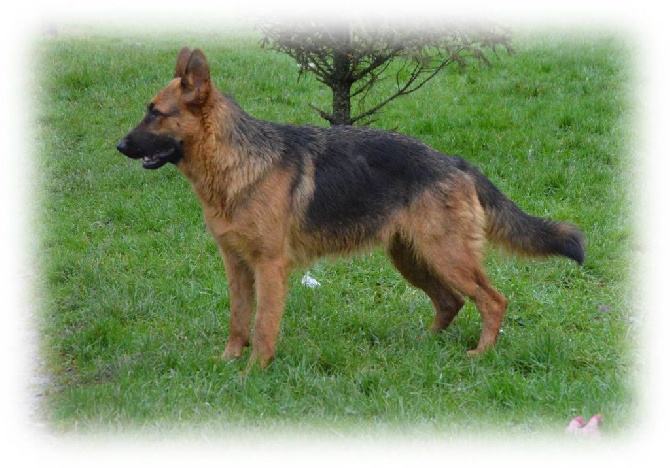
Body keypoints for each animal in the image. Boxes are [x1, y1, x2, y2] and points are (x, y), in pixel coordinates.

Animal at [118, 47, 584, 370]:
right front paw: (228, 362)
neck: (238, 163)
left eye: (156, 114)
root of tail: (455, 162)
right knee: (450, 302)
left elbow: (263, 327)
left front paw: (253, 372)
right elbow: (238, 319)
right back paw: (423, 344)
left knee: (493, 301)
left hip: (446, 256)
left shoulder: (269, 268)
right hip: (412, 258)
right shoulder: (236, 265)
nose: (120, 146)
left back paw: (481, 354)